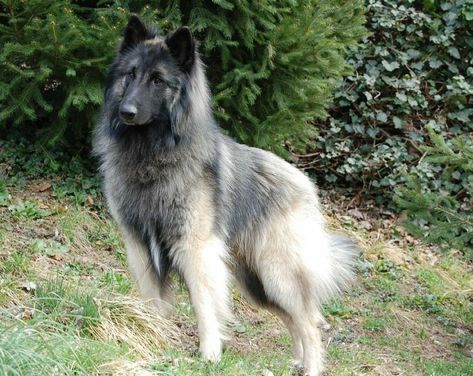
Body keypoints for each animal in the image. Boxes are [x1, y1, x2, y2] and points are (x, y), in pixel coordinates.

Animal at [94, 15, 356, 376]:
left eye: (158, 80)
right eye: (130, 75)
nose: (126, 111)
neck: (153, 152)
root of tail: (306, 185)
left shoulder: (195, 250)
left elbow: (205, 305)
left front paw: (209, 355)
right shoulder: (141, 248)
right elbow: (154, 300)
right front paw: (154, 337)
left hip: (278, 275)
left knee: (309, 323)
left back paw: (311, 367)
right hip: (258, 284)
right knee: (294, 320)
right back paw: (298, 362)